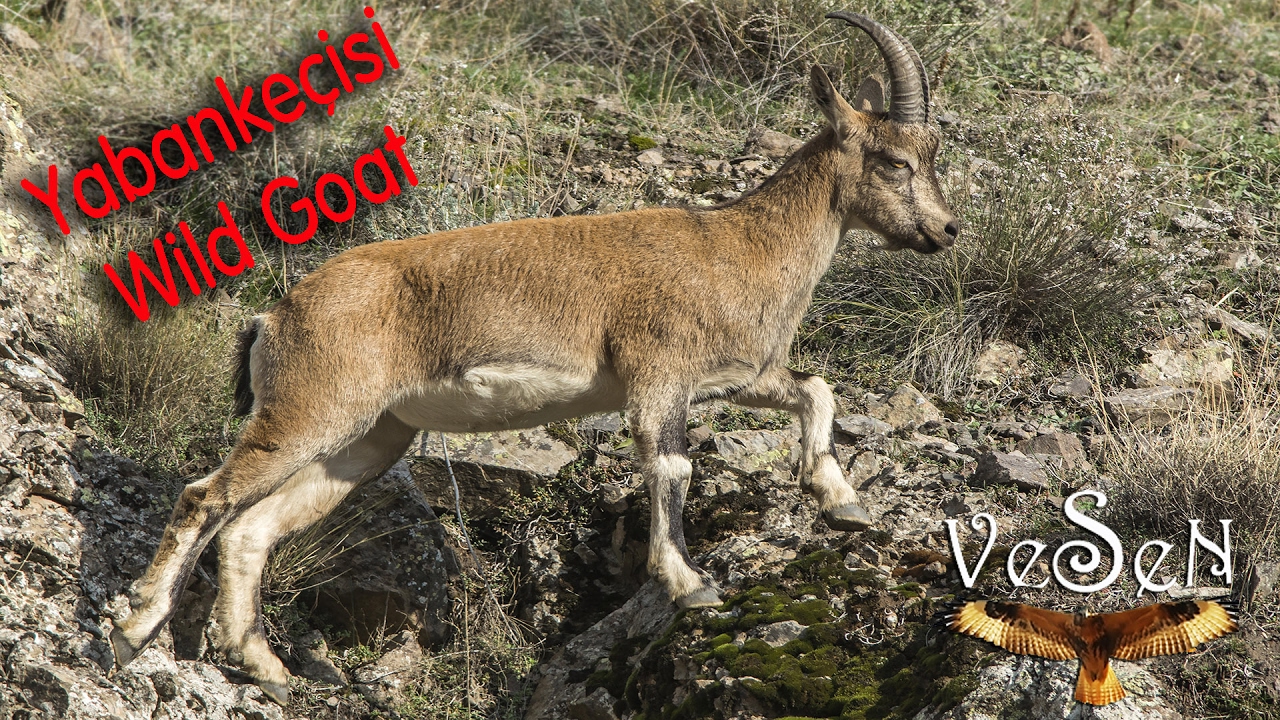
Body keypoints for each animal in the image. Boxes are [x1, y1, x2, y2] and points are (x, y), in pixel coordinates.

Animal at [109, 12, 958, 704]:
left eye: (931, 153)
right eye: (892, 159)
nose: (945, 232)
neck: (737, 248)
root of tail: (274, 316)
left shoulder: (736, 379)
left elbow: (815, 390)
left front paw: (842, 503)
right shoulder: (657, 376)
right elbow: (672, 468)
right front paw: (691, 585)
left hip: (370, 438)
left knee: (252, 528)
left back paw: (266, 667)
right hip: (310, 410)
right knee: (203, 497)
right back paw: (134, 628)